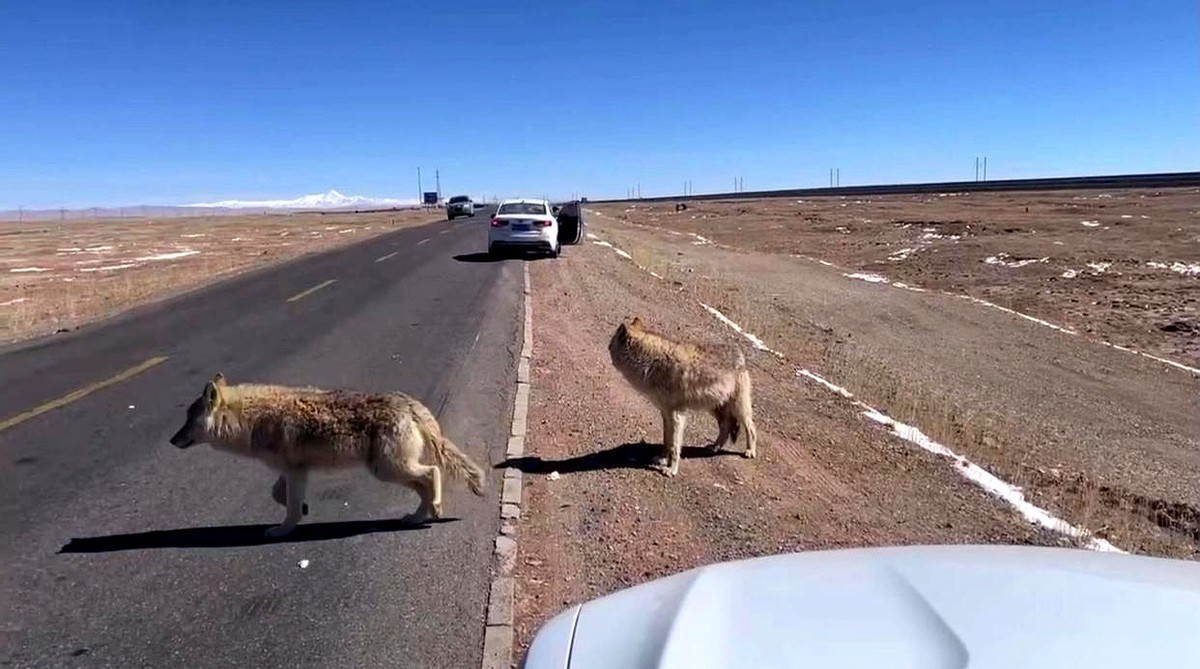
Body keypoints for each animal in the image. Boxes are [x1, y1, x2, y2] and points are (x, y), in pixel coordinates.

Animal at [170, 374, 487, 537]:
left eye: (187, 420)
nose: (172, 440)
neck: (252, 419)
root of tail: (411, 404)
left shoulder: (295, 471)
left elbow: (289, 506)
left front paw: (283, 530)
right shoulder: (294, 470)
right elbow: (279, 495)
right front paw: (302, 510)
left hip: (387, 469)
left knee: (433, 473)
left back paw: (435, 508)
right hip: (391, 470)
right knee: (425, 485)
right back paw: (418, 517)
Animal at [609, 318, 758, 479]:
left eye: (611, 343)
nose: (607, 347)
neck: (653, 362)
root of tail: (740, 353)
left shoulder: (677, 415)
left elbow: (674, 446)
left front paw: (671, 469)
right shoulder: (665, 413)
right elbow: (667, 440)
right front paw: (662, 459)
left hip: (738, 409)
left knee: (751, 428)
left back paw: (750, 451)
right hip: (714, 408)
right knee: (725, 426)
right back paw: (714, 446)